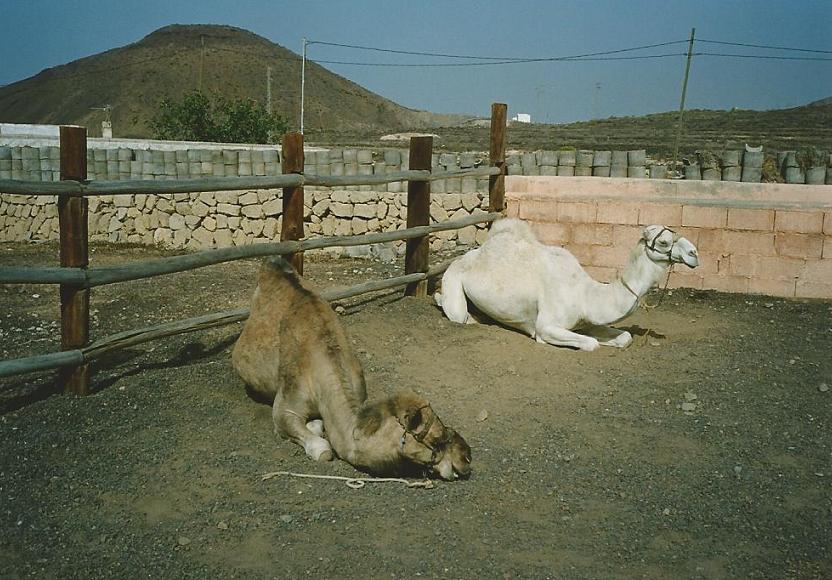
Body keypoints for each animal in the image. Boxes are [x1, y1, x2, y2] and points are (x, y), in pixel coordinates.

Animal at [438, 220, 700, 352]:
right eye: (664, 242)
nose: (694, 253)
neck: (586, 295)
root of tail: (464, 257)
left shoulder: (588, 321)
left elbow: (624, 337)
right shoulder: (547, 326)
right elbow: (590, 344)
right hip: (453, 281)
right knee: (457, 313)